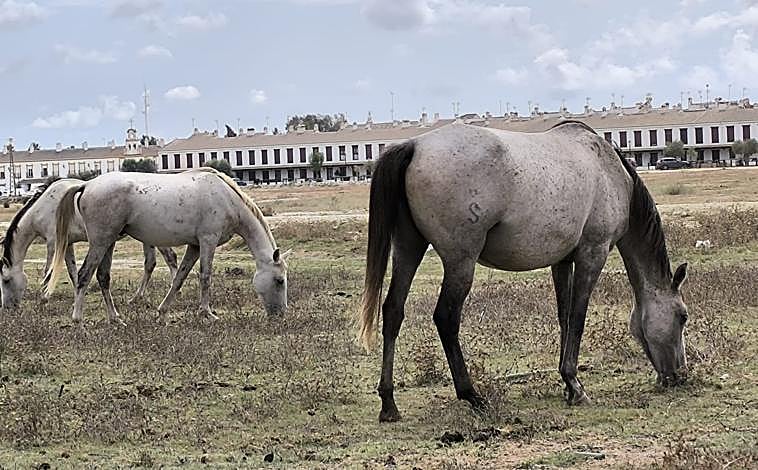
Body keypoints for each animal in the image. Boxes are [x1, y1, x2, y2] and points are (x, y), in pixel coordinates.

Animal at [1, 179, 178, 308]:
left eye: (6, 280)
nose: (7, 307)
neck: (43, 208)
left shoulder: (52, 244)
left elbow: (48, 272)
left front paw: (44, 298)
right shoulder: (67, 245)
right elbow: (72, 272)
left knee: (170, 258)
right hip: (148, 239)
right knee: (150, 264)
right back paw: (137, 297)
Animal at [44, 168, 287, 324]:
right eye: (279, 280)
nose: (281, 314)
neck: (226, 198)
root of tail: (86, 185)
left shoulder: (194, 246)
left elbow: (179, 277)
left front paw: (162, 313)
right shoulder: (208, 241)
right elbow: (205, 276)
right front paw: (207, 313)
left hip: (108, 242)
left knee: (103, 277)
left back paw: (116, 319)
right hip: (100, 242)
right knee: (84, 275)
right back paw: (78, 319)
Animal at [359, 121, 689, 422]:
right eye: (683, 317)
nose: (680, 375)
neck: (611, 173)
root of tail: (414, 145)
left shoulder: (562, 261)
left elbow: (564, 317)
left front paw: (567, 384)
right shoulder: (591, 255)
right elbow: (578, 318)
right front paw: (576, 386)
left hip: (408, 249)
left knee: (393, 311)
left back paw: (389, 404)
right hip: (460, 262)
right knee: (446, 318)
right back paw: (472, 395)